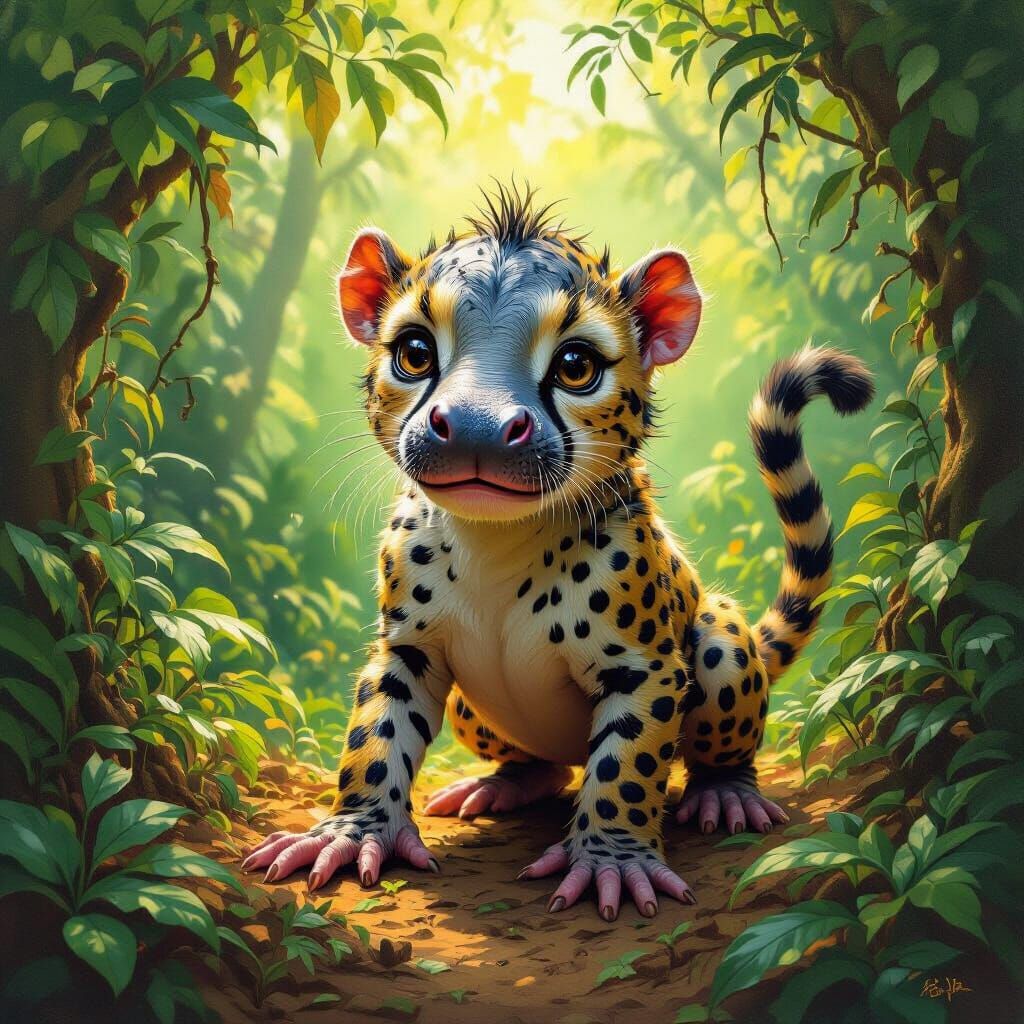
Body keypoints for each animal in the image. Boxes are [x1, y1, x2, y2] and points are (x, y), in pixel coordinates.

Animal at [243, 184, 873, 920]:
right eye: (415, 352)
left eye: (576, 367)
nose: (477, 427)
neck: (496, 545)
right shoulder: (407, 647)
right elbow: (375, 740)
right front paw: (350, 834)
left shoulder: (645, 668)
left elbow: (626, 769)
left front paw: (613, 863)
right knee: (540, 764)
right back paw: (502, 785)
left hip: (720, 642)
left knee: (718, 737)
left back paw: (726, 793)